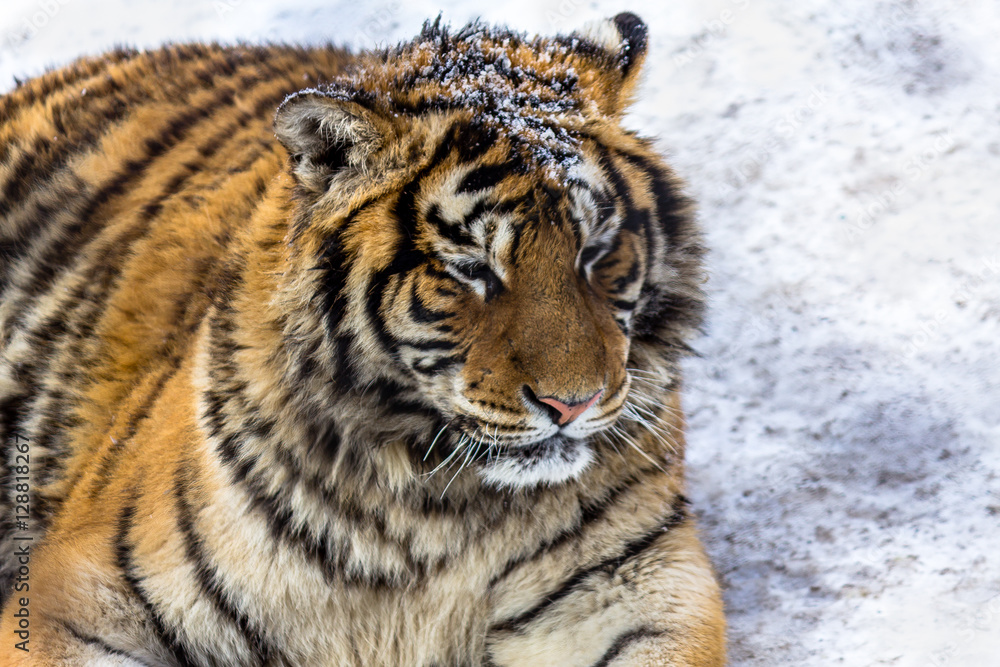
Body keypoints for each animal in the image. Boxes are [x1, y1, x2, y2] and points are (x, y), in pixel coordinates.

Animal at [0, 11, 725, 666]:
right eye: (471, 267)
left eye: (596, 251)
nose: (573, 404)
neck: (432, 508)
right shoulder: (78, 594)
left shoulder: (637, 586)